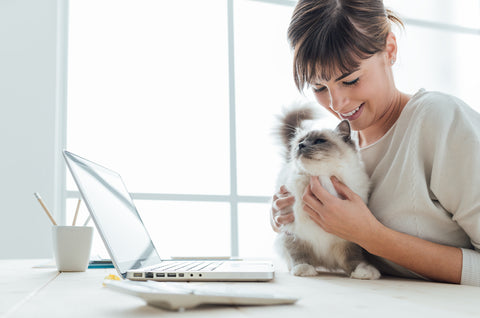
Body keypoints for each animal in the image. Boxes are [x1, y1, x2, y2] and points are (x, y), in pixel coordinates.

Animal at [274, 103, 382, 280]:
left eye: (319, 141)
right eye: (301, 142)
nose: (301, 146)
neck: (322, 179)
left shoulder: (347, 238)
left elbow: (353, 257)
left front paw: (363, 272)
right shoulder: (294, 232)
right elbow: (299, 254)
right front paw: (303, 270)